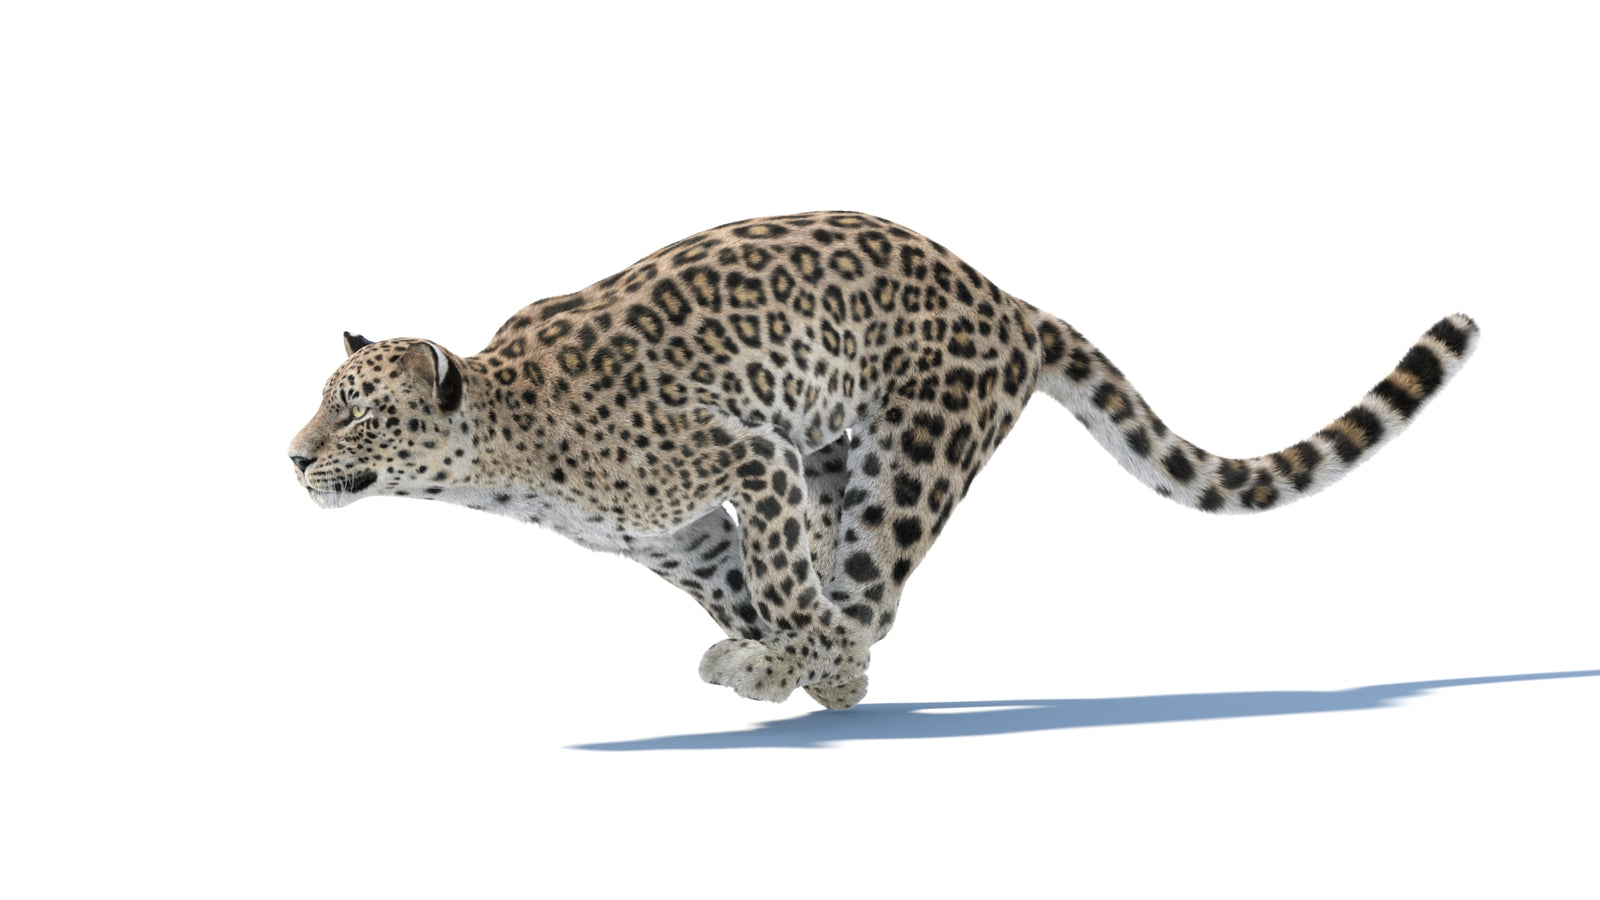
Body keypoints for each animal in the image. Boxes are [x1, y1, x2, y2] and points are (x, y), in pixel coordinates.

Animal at [288, 212, 1478, 709]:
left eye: (354, 413)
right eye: (320, 406)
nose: (291, 457)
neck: (506, 462)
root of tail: (1007, 298)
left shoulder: (748, 458)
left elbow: (785, 583)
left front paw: (808, 662)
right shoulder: (679, 536)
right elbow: (746, 586)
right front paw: (775, 653)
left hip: (910, 449)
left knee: (872, 577)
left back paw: (836, 666)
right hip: (835, 454)